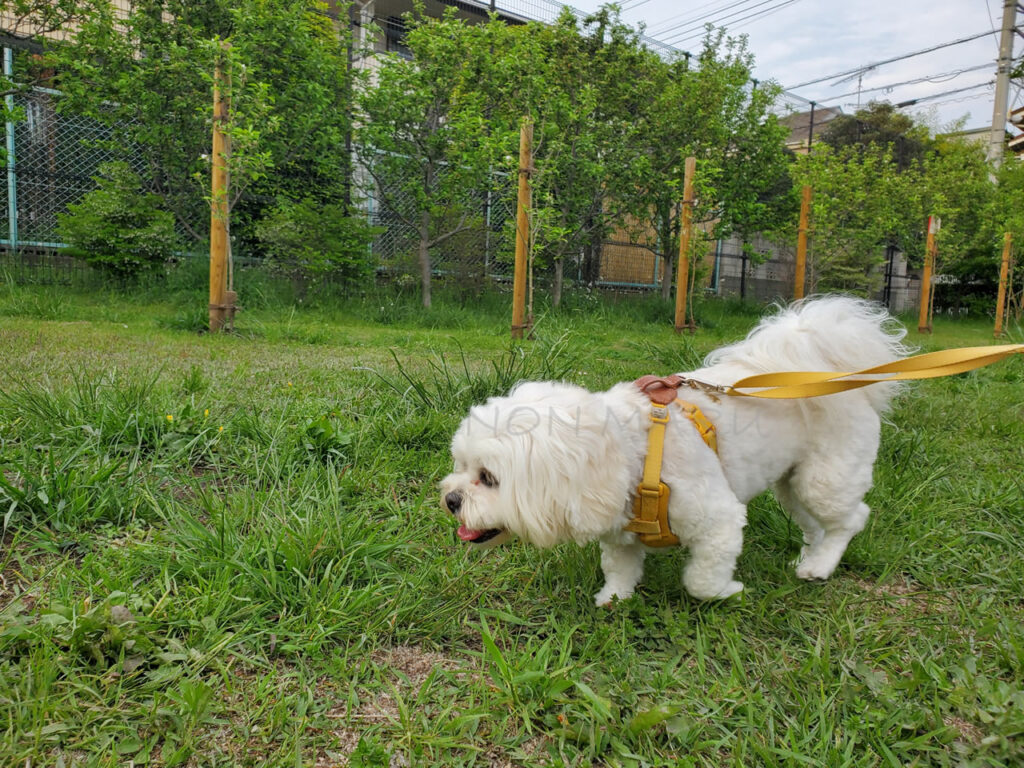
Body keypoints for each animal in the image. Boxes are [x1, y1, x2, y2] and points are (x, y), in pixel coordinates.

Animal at [440, 299, 913, 606]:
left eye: (489, 478)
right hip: (792, 483)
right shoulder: (620, 533)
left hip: (824, 479)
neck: (631, 455)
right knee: (817, 524)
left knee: (851, 519)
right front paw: (614, 599)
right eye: (461, 467)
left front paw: (727, 592)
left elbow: (701, 580)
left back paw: (821, 565)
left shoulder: (719, 522)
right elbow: (620, 570)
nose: (451, 500)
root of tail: (832, 373)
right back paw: (812, 556)